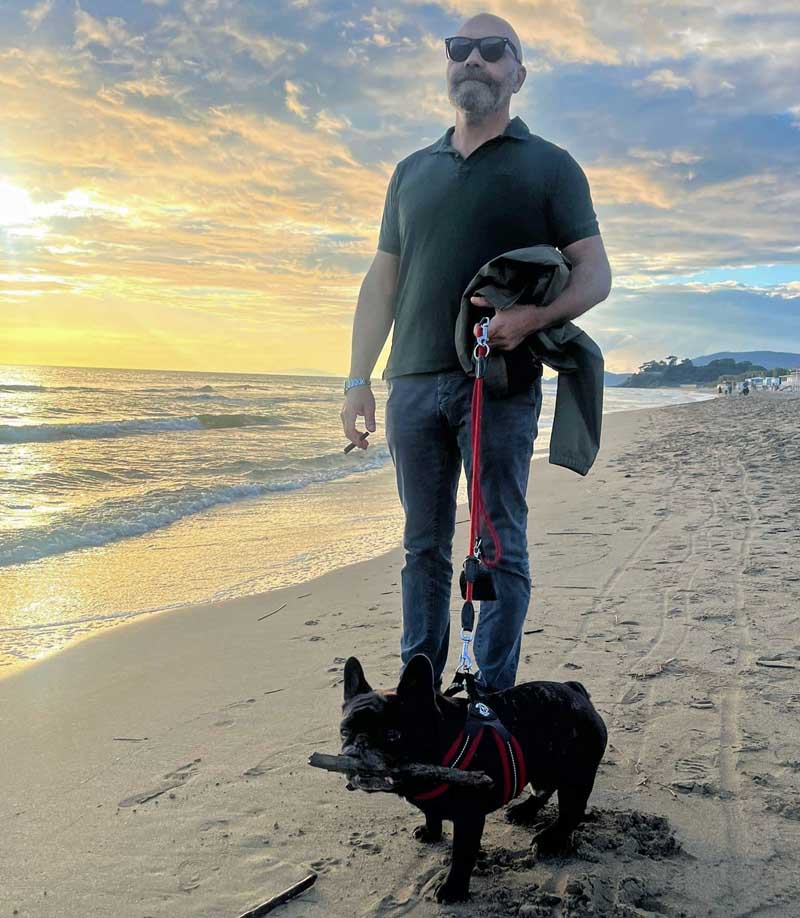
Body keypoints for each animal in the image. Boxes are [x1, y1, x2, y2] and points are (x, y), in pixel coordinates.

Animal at [338, 656, 608, 904]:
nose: (355, 751)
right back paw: (524, 811)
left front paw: (453, 889)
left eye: (392, 735)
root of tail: (577, 692)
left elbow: (462, 854)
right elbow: (431, 814)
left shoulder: (469, 818)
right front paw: (431, 832)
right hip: (544, 766)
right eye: (344, 731)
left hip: (576, 776)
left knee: (570, 813)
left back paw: (550, 840)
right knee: (544, 788)